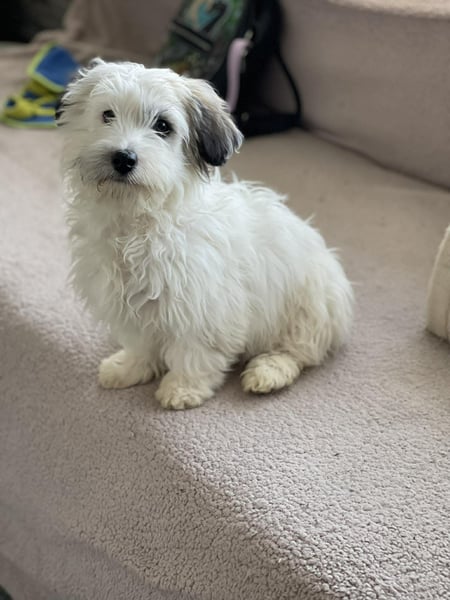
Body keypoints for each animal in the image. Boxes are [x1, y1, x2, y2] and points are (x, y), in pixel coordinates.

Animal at [57, 59, 353, 410]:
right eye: (107, 115)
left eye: (163, 126)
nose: (123, 158)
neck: (137, 218)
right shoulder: (131, 304)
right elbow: (142, 343)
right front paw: (130, 367)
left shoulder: (202, 306)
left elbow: (194, 351)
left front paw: (183, 388)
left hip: (309, 307)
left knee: (298, 351)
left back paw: (268, 372)